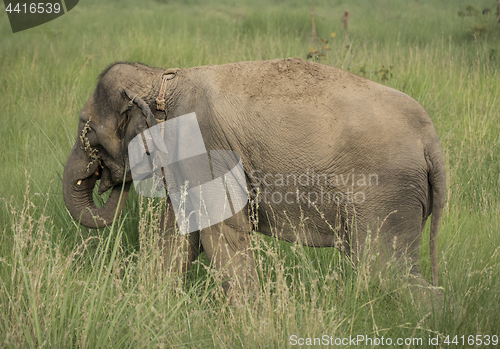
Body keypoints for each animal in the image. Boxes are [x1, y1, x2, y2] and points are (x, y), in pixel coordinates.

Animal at [61, 57, 446, 296]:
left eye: (87, 131)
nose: (112, 179)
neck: (164, 80)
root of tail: (431, 140)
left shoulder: (205, 151)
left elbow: (220, 234)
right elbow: (178, 236)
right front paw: (153, 299)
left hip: (386, 195)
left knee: (386, 269)